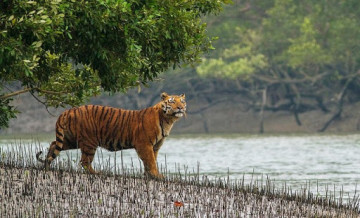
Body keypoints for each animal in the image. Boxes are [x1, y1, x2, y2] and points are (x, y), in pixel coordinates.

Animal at [36, 93, 186, 178]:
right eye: (172, 101)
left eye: (182, 101)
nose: (180, 108)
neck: (168, 120)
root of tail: (67, 111)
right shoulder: (144, 144)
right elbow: (150, 161)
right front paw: (157, 175)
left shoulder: (155, 146)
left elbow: (151, 160)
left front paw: (149, 175)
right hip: (89, 142)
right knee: (84, 161)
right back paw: (96, 173)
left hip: (71, 140)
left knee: (54, 145)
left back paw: (47, 165)